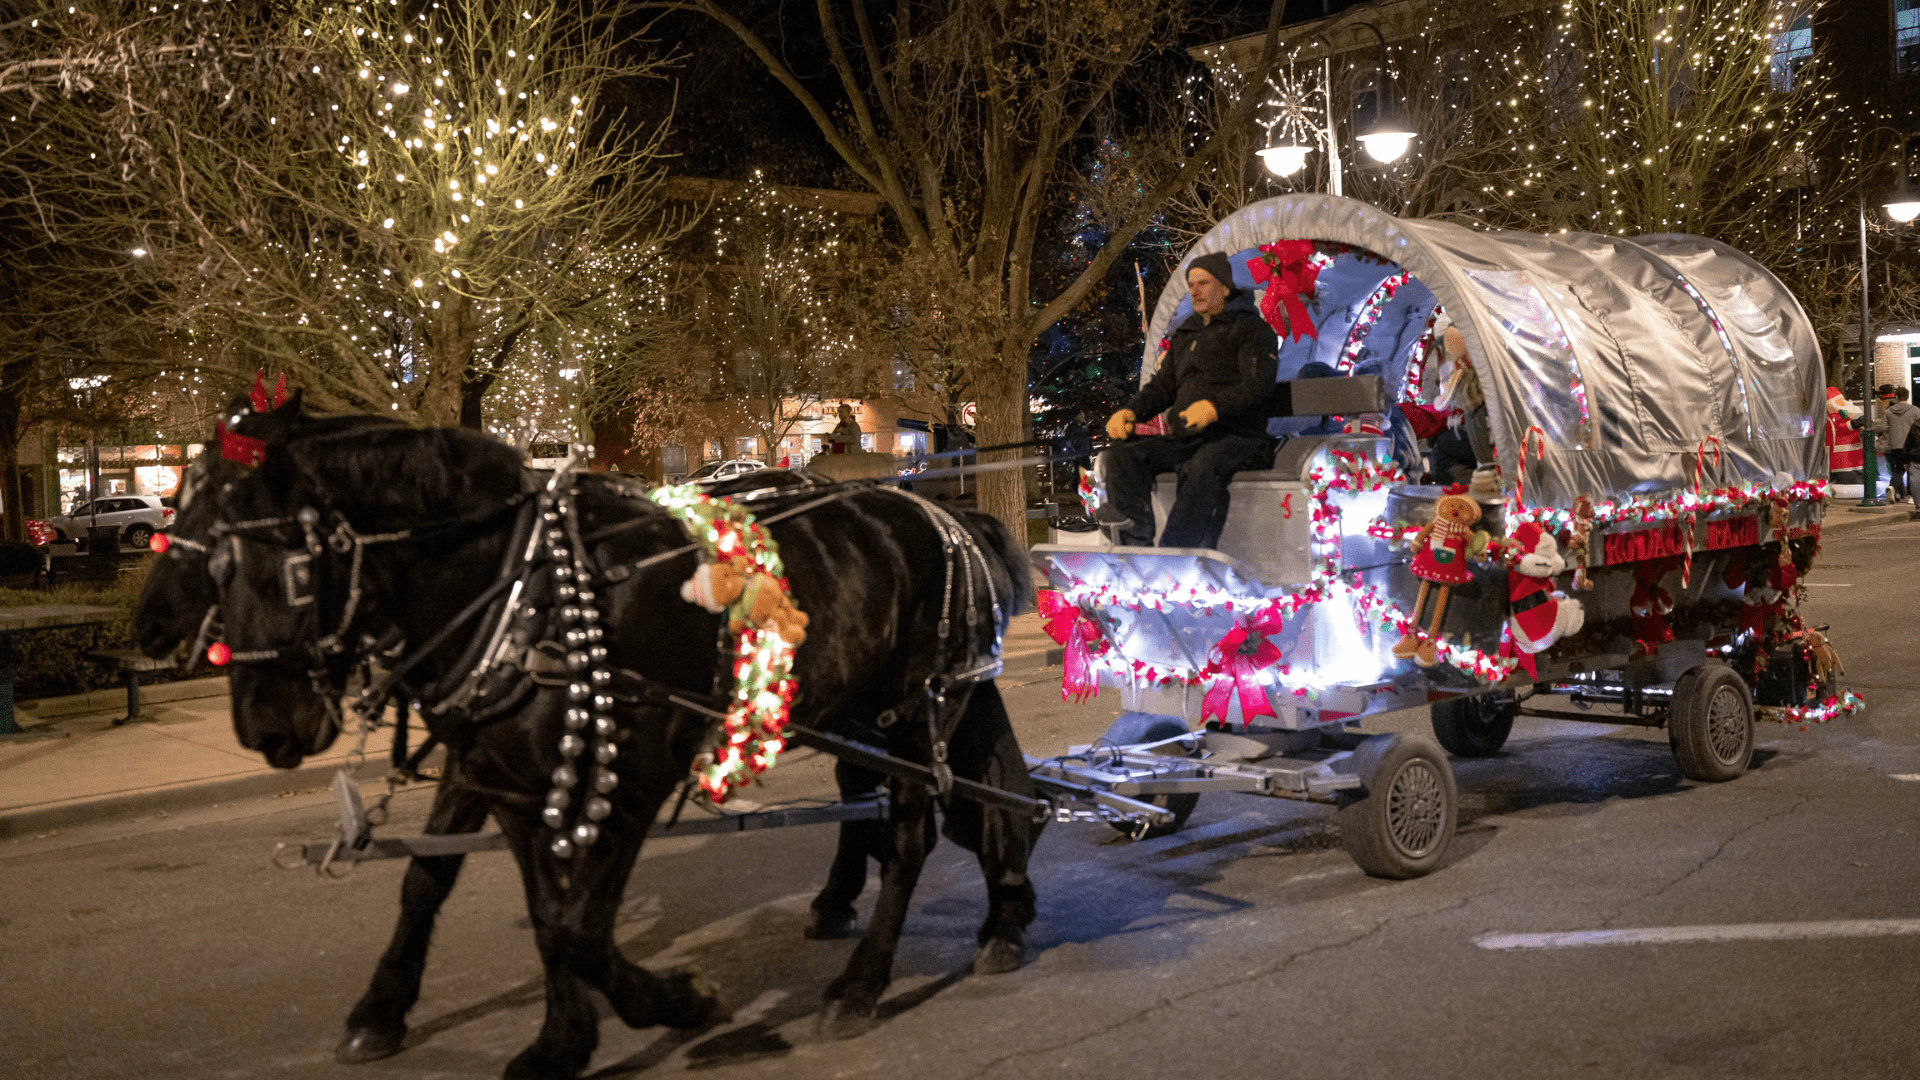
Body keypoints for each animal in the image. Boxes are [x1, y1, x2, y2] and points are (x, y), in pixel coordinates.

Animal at [137, 397, 1052, 1076]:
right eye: (204, 552)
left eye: (291, 568)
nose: (267, 725)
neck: (520, 587)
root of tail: (939, 508)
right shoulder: (498, 767)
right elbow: (486, 896)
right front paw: (531, 1035)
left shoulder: (633, 774)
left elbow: (578, 924)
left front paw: (680, 1002)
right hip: (867, 711)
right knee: (954, 805)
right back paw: (981, 914)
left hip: (919, 709)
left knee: (913, 832)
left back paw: (863, 984)